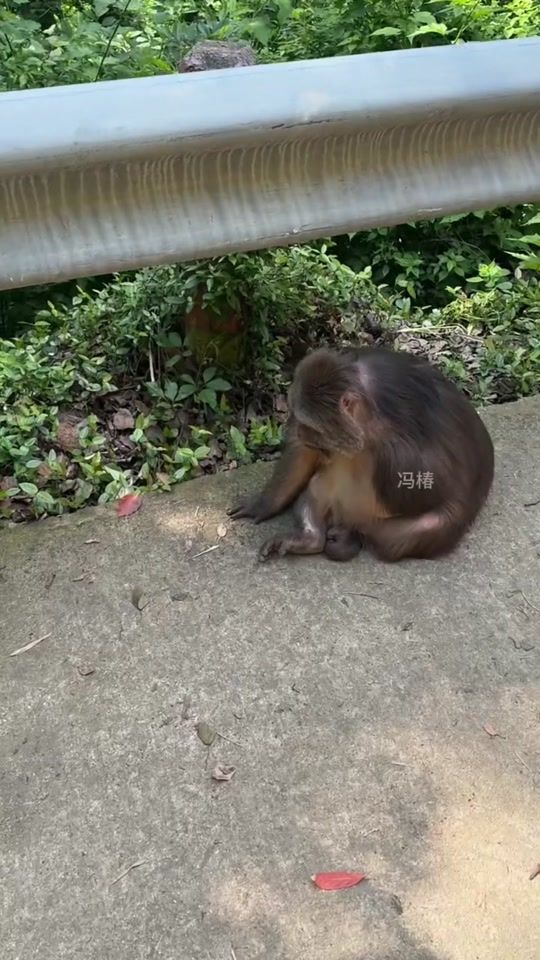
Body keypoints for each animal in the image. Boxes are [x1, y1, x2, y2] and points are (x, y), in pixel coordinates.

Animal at [228, 346, 494, 563]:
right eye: (300, 419)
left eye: (313, 428)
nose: (300, 432)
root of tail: (347, 519)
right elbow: (302, 455)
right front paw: (263, 504)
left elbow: (432, 482)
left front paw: (369, 442)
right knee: (316, 490)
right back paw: (311, 538)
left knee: (417, 532)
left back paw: (355, 534)